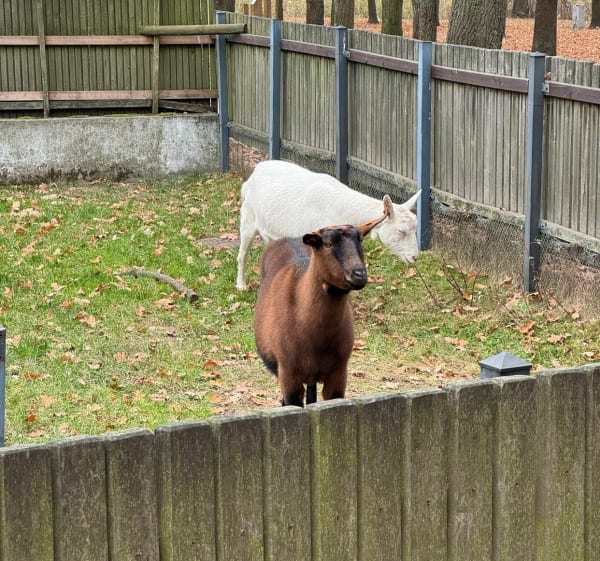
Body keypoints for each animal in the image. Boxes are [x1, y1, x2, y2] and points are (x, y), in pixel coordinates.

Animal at [236, 160, 420, 290]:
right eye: (401, 231)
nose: (414, 257)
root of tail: (255, 172)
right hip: (248, 217)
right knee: (242, 254)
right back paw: (241, 286)